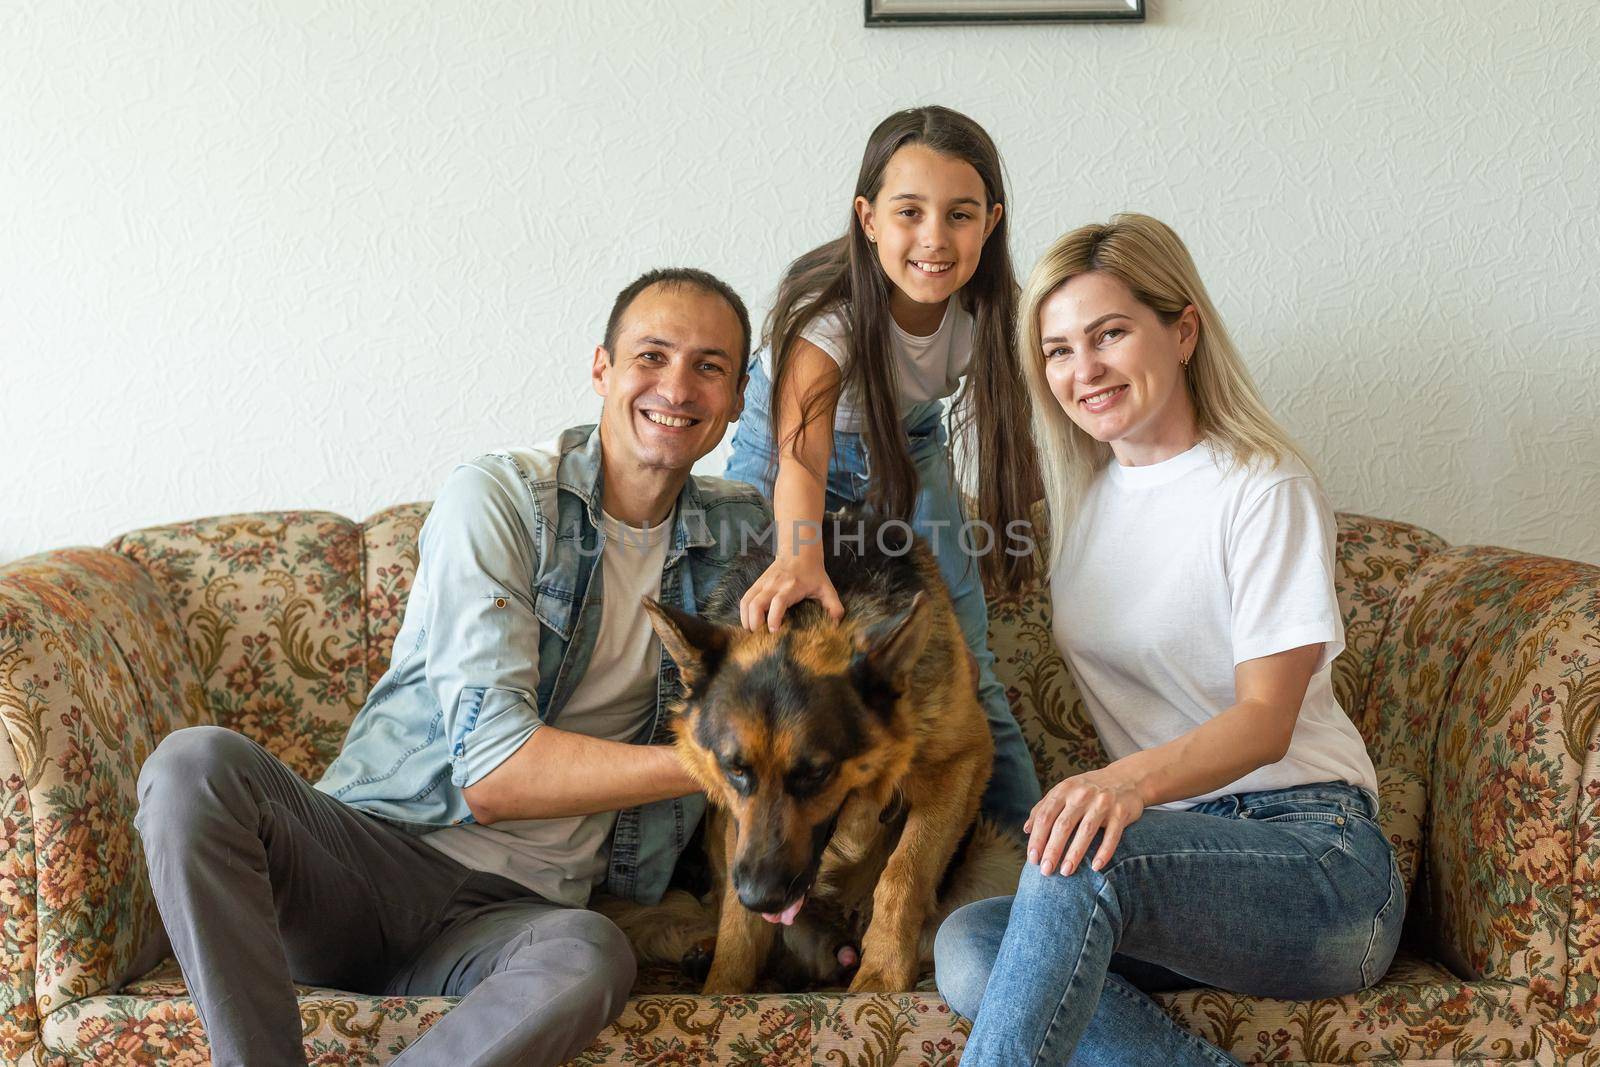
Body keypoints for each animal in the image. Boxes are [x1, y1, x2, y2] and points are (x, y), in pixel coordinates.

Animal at [604, 508, 1017, 991]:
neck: (809, 615)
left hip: (1000, 857)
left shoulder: (959, 764)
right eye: (734, 769)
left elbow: (904, 875)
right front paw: (723, 989)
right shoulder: (737, 832)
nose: (762, 898)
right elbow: (737, 926)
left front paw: (882, 977)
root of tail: (837, 946)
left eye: (817, 774)